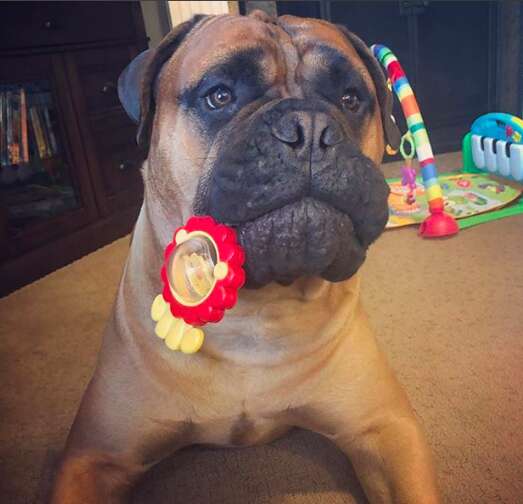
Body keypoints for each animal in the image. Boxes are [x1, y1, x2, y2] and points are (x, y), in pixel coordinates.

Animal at [50, 11, 442, 504]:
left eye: (351, 99)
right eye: (219, 96)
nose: (310, 129)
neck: (256, 311)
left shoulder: (387, 431)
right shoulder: (95, 456)